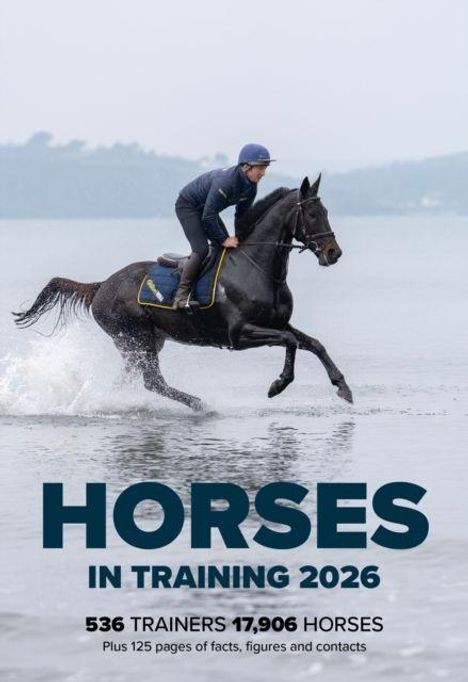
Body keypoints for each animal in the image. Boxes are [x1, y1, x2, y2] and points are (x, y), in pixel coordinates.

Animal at [13, 174, 353, 410]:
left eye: (325, 210)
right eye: (312, 214)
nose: (333, 252)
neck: (258, 267)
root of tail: (102, 286)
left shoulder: (277, 322)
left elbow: (313, 343)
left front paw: (343, 387)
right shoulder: (240, 334)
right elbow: (291, 341)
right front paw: (278, 385)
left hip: (142, 343)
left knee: (132, 379)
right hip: (135, 336)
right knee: (153, 381)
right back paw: (200, 403)